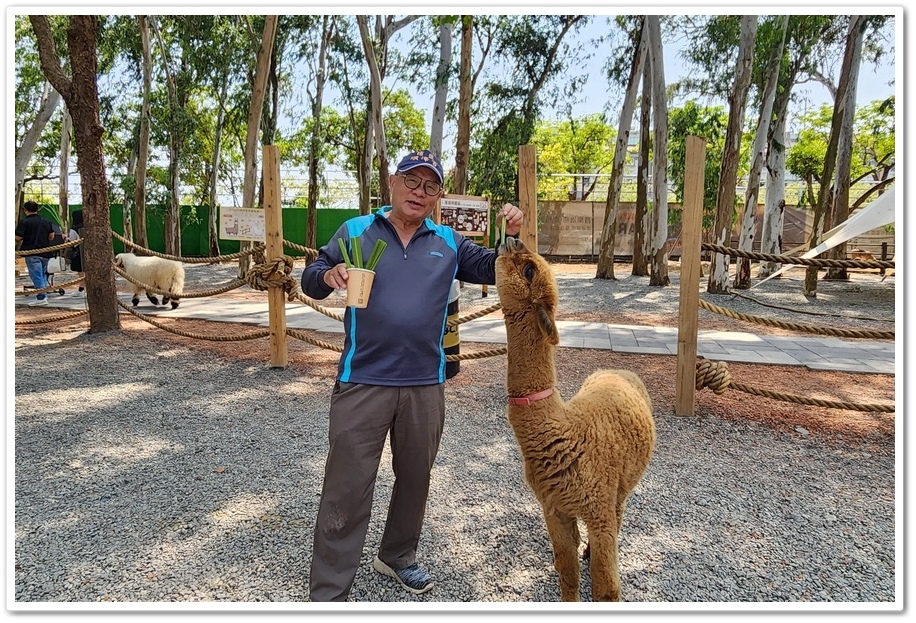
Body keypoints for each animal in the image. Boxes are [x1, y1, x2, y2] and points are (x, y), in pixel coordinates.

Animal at [494, 236, 660, 604]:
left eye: (530, 269)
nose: (513, 239)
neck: (562, 432)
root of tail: (617, 369)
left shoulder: (597, 505)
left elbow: (607, 588)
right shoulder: (553, 508)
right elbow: (567, 573)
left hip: (621, 486)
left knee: (619, 512)